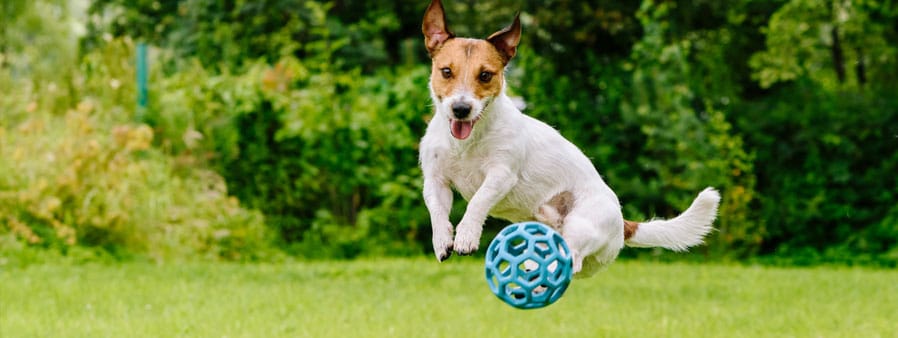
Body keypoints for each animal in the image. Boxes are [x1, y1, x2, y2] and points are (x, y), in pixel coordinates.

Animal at [418, 0, 720, 276]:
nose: (461, 109)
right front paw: (442, 240)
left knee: (571, 260)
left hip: (581, 227)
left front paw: (466, 235)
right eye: (446, 71)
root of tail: (623, 224)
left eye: (485, 75)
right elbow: (436, 210)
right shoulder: (435, 180)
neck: (465, 143)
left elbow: (479, 200)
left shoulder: (501, 174)